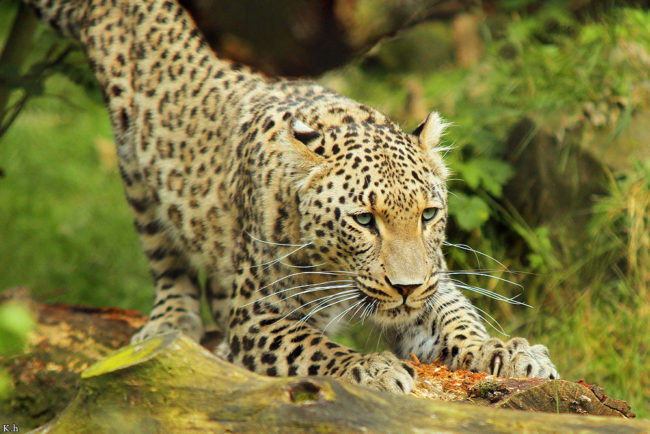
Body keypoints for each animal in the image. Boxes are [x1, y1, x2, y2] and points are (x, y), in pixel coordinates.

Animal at [24, 0, 558, 393]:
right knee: (167, 262)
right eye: (365, 221)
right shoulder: (259, 316)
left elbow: (455, 317)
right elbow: (314, 348)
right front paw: (373, 368)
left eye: (428, 215)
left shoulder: (432, 278)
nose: (405, 287)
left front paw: (510, 352)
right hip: (136, 170)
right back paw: (171, 322)